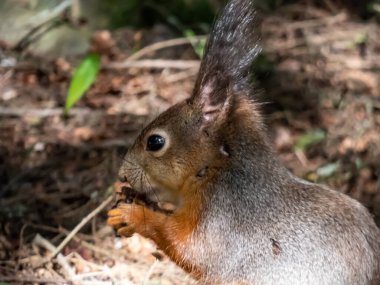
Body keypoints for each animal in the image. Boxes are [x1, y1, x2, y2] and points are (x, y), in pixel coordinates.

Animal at [107, 0, 380, 282]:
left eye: (155, 142)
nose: (123, 174)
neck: (216, 168)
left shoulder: (222, 217)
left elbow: (189, 248)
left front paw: (133, 215)